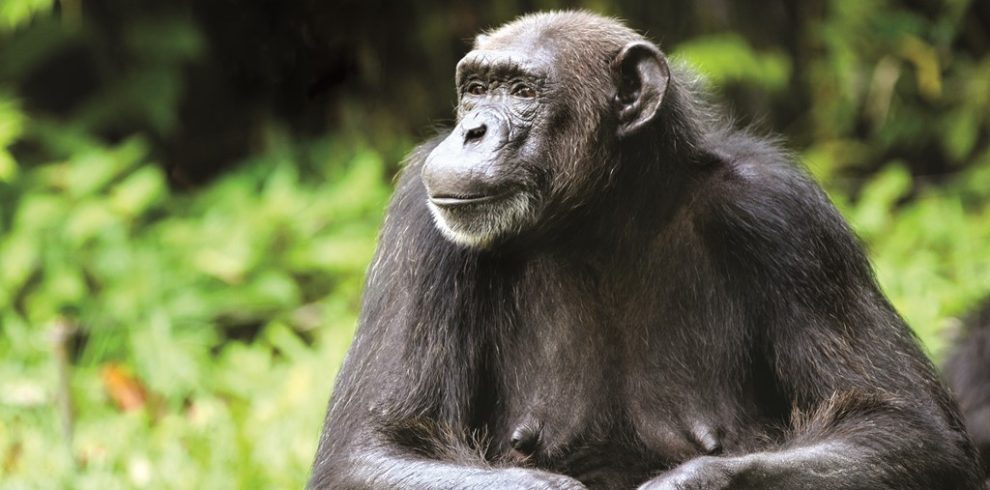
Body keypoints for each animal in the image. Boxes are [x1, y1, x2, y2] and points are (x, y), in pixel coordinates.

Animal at [310, 11, 984, 490]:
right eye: (476, 89)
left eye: (522, 91)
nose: (471, 129)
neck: (600, 219)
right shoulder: (420, 232)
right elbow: (372, 447)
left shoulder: (789, 220)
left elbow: (905, 427)